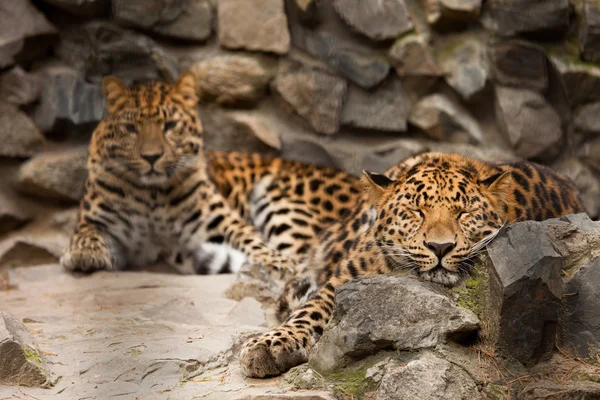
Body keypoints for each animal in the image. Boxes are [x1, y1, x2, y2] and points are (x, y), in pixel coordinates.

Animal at [61, 71, 364, 278]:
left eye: (170, 125)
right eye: (130, 128)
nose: (151, 157)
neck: (152, 195)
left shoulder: (223, 222)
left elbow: (255, 242)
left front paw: (278, 264)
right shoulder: (93, 221)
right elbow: (86, 235)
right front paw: (83, 255)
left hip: (279, 197)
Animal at [237, 151, 584, 378]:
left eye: (463, 214)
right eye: (417, 211)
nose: (440, 247)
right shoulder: (343, 278)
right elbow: (308, 312)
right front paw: (268, 344)